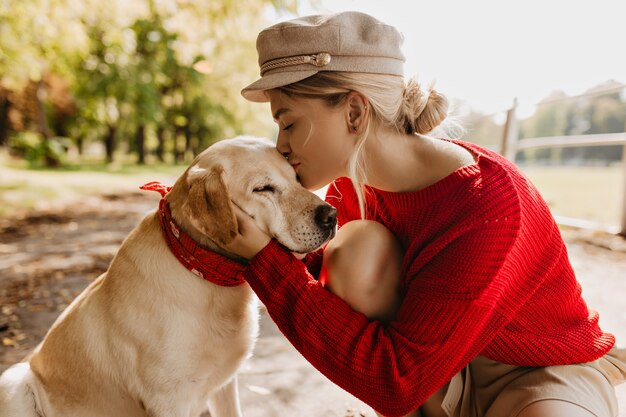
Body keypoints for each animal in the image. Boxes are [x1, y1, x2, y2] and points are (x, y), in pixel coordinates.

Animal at [0, 135, 336, 414]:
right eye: (263, 188)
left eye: (296, 178)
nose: (331, 215)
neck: (204, 271)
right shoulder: (169, 401)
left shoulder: (225, 385)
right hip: (15, 379)